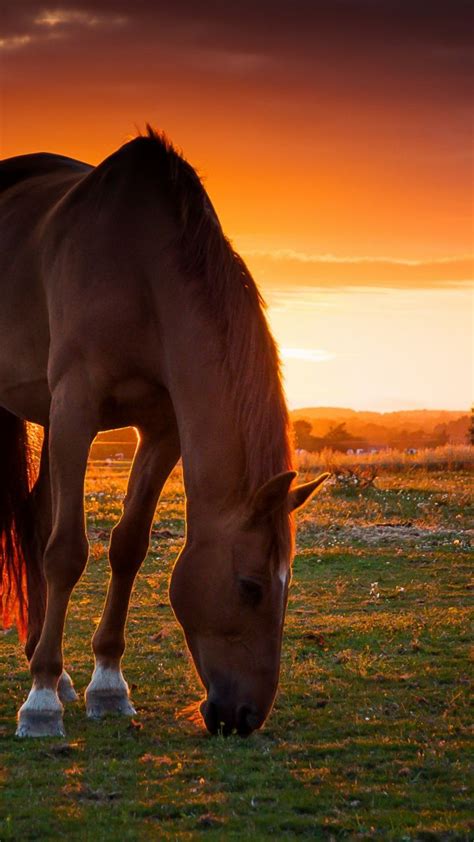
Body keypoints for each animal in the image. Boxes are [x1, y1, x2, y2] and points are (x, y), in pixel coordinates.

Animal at [0, 126, 330, 736]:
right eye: (250, 587)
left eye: (286, 587)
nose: (245, 716)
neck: (141, 272)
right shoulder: (77, 406)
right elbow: (67, 551)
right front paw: (41, 702)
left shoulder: (160, 428)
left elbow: (128, 546)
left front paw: (106, 686)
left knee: (34, 520)